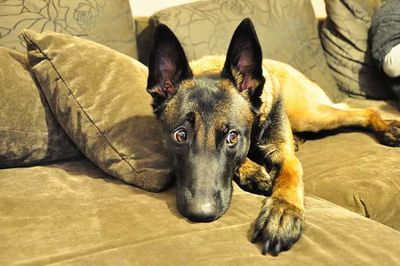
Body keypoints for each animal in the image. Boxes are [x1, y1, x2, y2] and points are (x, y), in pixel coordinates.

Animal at [146, 17, 400, 255]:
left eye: (232, 137)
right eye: (181, 135)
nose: (201, 214)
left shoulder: (285, 154)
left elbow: (290, 175)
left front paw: (283, 211)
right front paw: (252, 171)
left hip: (310, 115)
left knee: (365, 110)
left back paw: (388, 129)